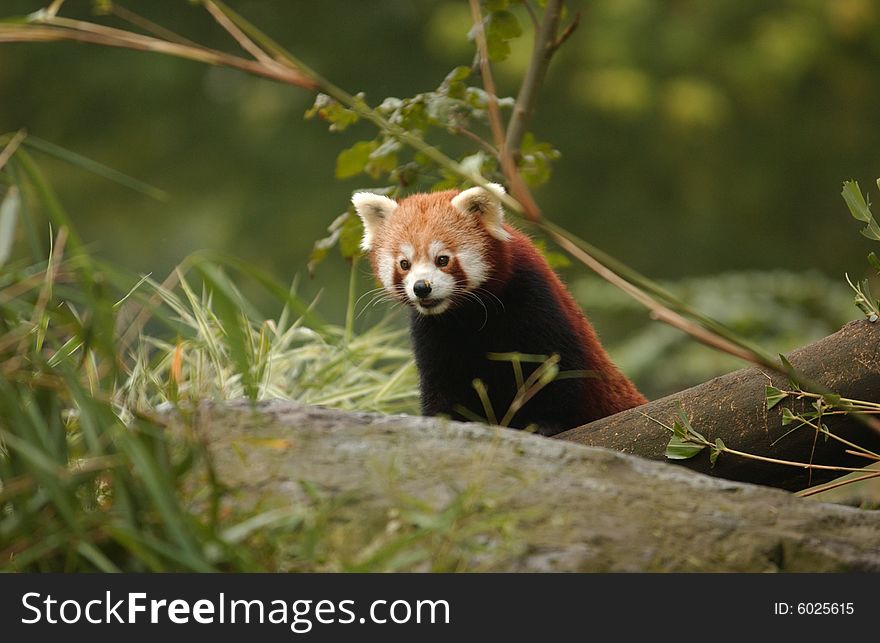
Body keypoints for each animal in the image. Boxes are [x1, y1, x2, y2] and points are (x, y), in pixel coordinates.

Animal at [350, 186, 648, 438]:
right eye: (404, 264)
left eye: (442, 259)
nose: (422, 287)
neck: (467, 315)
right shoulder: (432, 333)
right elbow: (442, 388)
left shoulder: (534, 299)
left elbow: (558, 368)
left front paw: (543, 423)